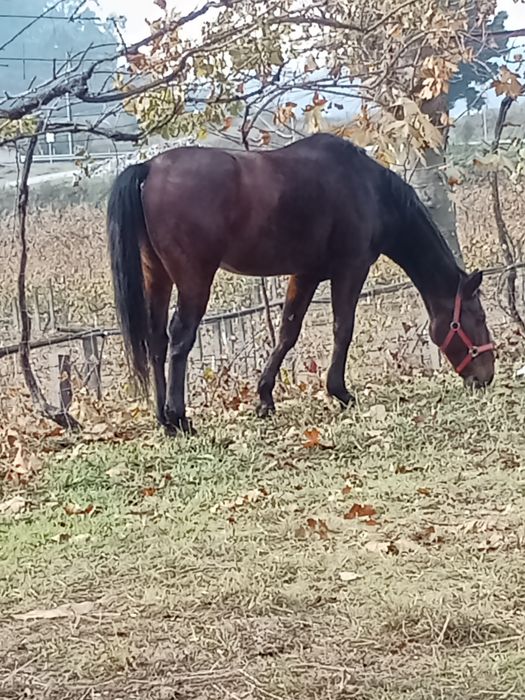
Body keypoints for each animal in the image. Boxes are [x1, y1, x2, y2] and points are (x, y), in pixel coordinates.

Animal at [107, 133, 495, 434]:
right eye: (478, 319)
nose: (486, 377)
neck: (369, 189)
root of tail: (149, 169)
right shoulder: (350, 270)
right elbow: (342, 328)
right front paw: (340, 392)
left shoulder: (305, 274)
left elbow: (287, 333)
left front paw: (264, 398)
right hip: (194, 280)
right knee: (179, 339)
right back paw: (179, 417)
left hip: (157, 276)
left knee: (156, 340)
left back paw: (163, 419)